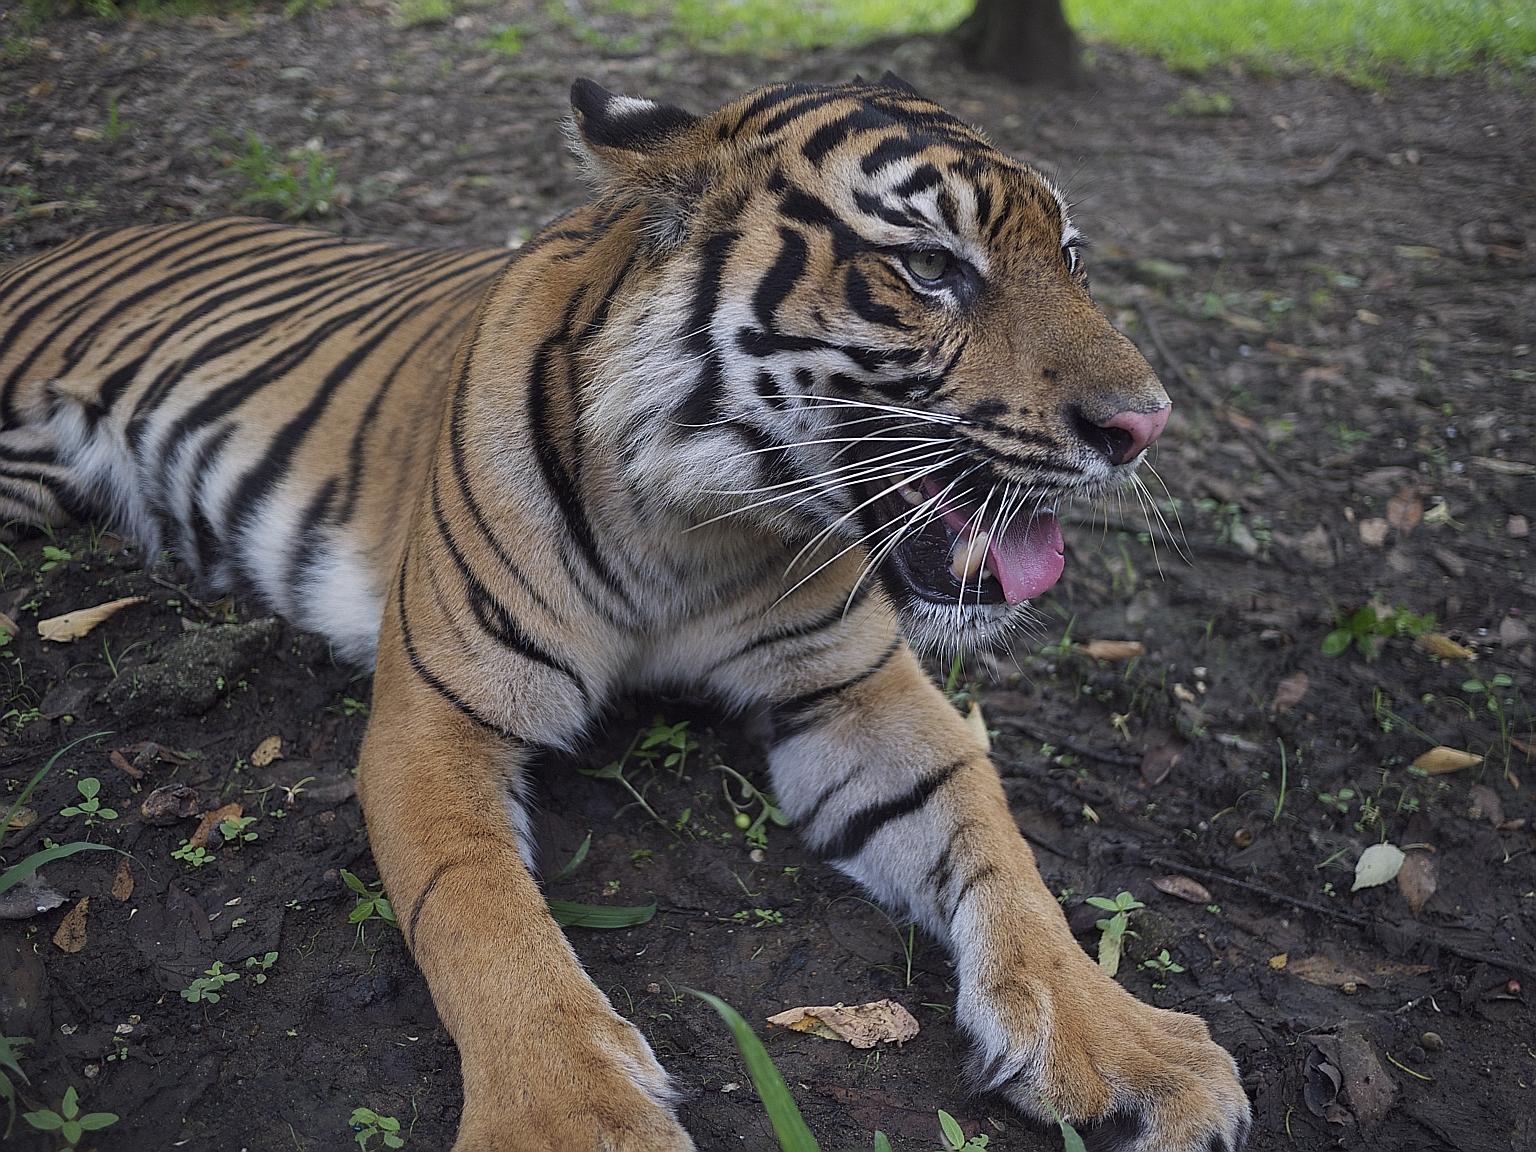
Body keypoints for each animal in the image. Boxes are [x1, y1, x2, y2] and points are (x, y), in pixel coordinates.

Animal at [0, 75, 1250, 1151]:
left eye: (1071, 259)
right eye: (933, 267)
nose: (1145, 426)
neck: (698, 530)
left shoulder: (854, 688)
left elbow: (998, 843)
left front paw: (1124, 1044)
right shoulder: (438, 716)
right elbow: (483, 916)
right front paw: (569, 1121)